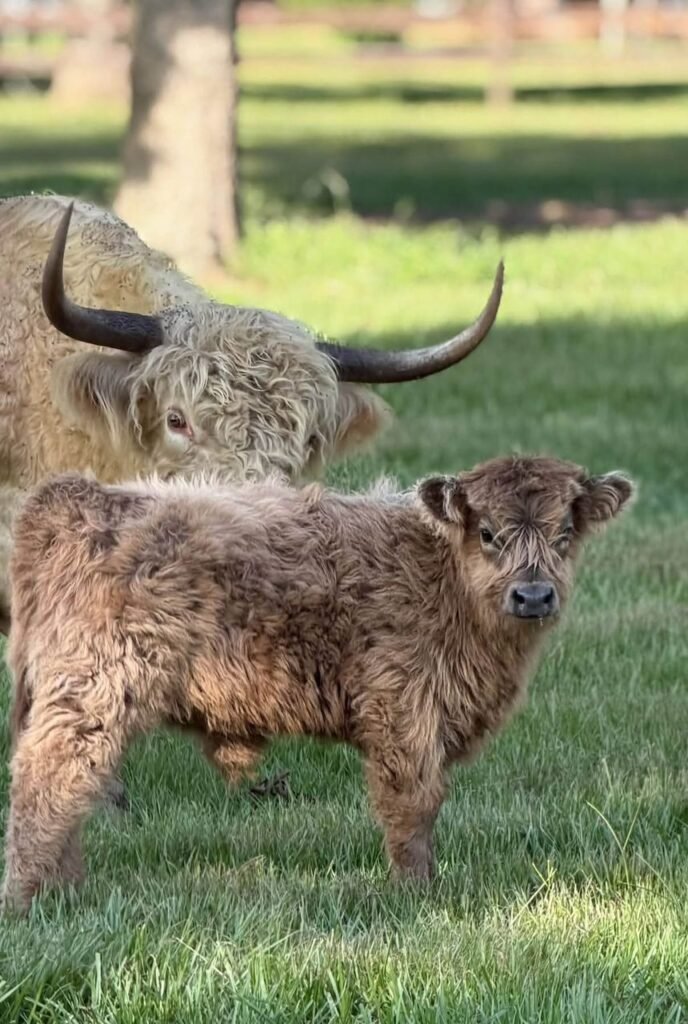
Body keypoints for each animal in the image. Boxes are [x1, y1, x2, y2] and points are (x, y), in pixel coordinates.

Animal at [1, 455, 634, 913]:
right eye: (488, 533)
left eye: (565, 531)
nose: (534, 595)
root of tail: (80, 495)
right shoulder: (403, 707)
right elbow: (414, 805)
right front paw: (418, 897)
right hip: (94, 687)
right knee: (49, 780)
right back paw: (27, 903)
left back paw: (67, 891)